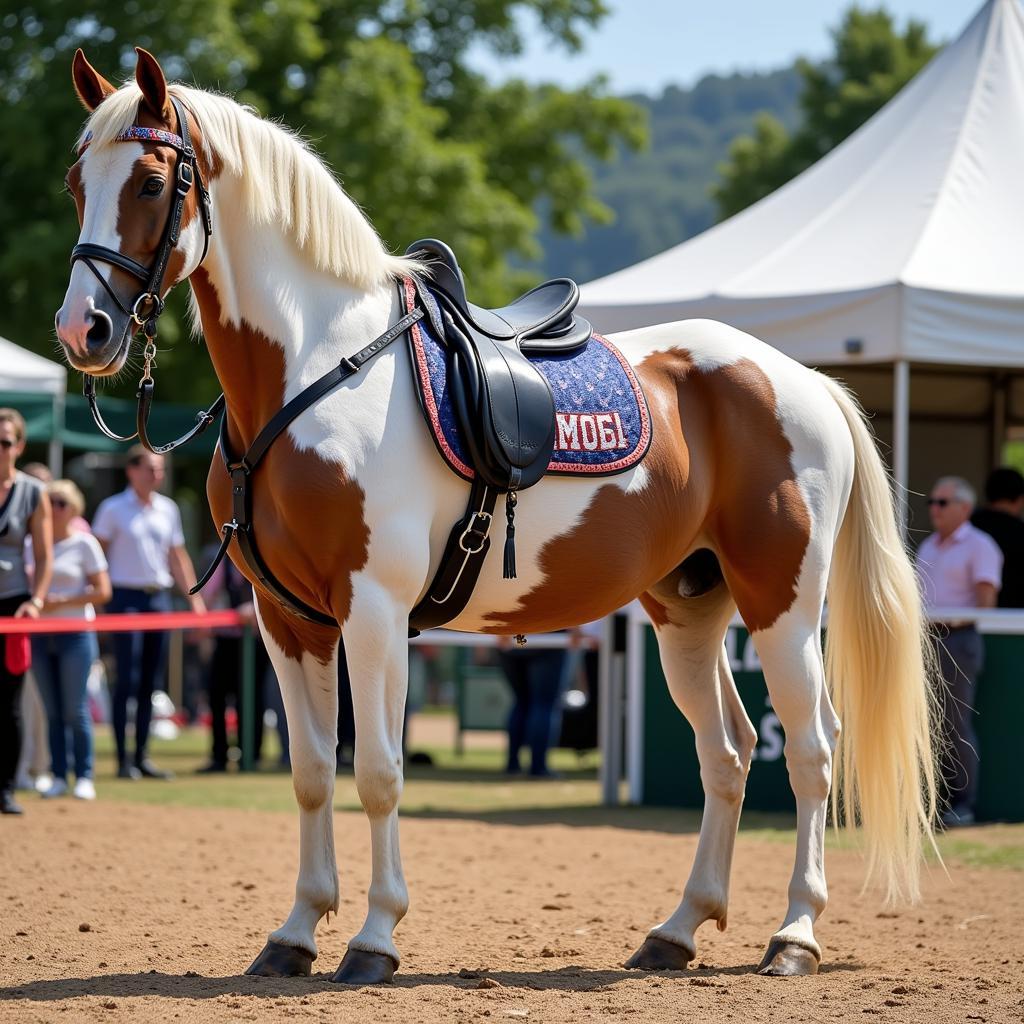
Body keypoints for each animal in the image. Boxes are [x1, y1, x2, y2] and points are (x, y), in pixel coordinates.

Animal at [56, 51, 937, 987]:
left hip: (783, 607)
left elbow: (378, 772)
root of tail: (801, 378)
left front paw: (374, 940)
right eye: (78, 184)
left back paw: (794, 934)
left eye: (152, 182)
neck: (316, 369)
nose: (83, 330)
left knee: (810, 751)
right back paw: (678, 929)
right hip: (688, 611)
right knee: (727, 754)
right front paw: (294, 935)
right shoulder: (288, 620)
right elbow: (310, 773)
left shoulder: (374, 611)